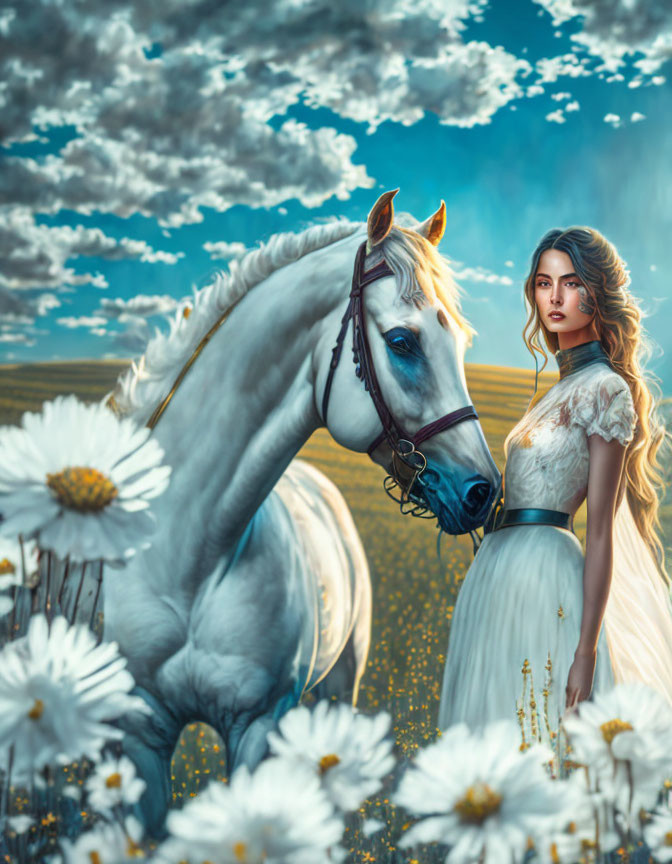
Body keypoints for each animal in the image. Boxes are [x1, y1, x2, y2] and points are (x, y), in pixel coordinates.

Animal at [105, 191, 502, 832]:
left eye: (462, 345)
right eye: (402, 342)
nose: (483, 491)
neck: (187, 560)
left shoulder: (258, 729)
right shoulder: (141, 735)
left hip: (336, 693)